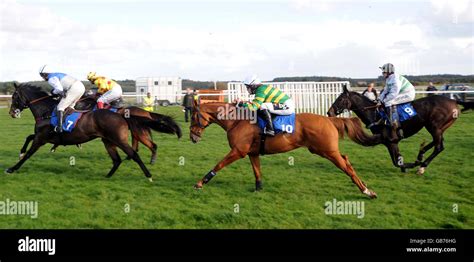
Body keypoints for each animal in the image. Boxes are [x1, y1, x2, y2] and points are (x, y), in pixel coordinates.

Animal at [5, 83, 178, 180]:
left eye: (14, 97)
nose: (12, 113)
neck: (46, 111)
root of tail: (121, 114)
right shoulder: (44, 136)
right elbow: (28, 137)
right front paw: (20, 152)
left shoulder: (41, 138)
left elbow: (29, 153)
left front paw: (12, 168)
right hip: (108, 141)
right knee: (117, 160)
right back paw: (108, 176)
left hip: (119, 139)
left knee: (134, 154)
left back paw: (148, 175)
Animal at [189, 100, 382, 199]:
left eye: (193, 116)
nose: (192, 137)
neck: (237, 120)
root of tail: (330, 120)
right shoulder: (252, 152)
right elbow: (257, 171)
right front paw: (258, 189)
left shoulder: (238, 151)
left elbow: (219, 165)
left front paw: (200, 183)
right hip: (326, 151)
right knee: (346, 159)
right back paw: (365, 186)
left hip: (327, 151)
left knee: (346, 166)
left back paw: (367, 191)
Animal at [326, 85, 460, 174]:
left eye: (340, 99)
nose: (329, 112)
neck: (376, 114)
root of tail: (453, 100)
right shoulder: (388, 142)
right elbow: (397, 160)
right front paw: (407, 166)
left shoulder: (391, 140)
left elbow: (396, 161)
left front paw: (412, 165)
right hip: (437, 127)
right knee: (438, 142)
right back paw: (421, 155)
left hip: (434, 127)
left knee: (439, 147)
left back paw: (422, 166)